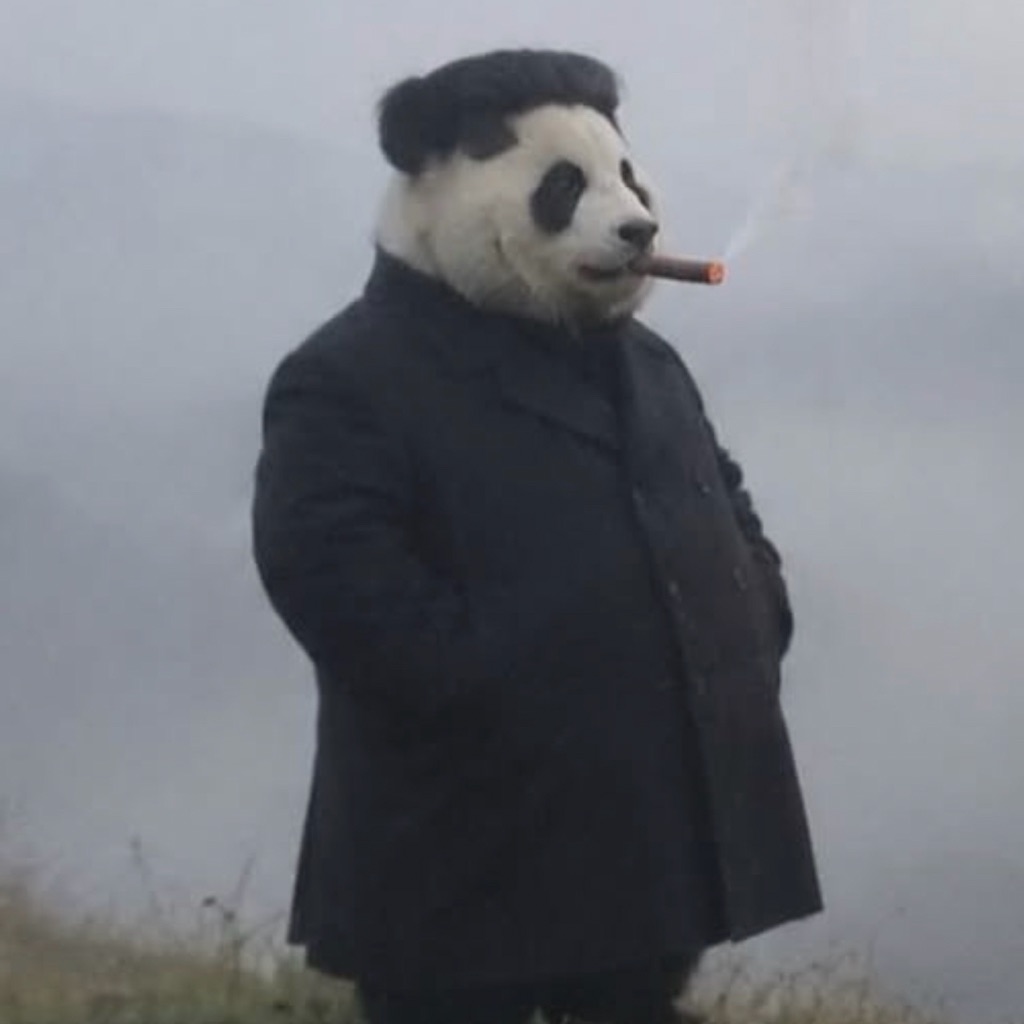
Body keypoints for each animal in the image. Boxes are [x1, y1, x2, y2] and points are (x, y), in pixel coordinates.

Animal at [253, 44, 822, 1024]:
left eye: (630, 174)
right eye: (563, 184)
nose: (641, 231)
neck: (547, 331)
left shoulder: (672, 392)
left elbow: (726, 486)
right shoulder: (332, 401)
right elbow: (335, 535)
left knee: (633, 986)